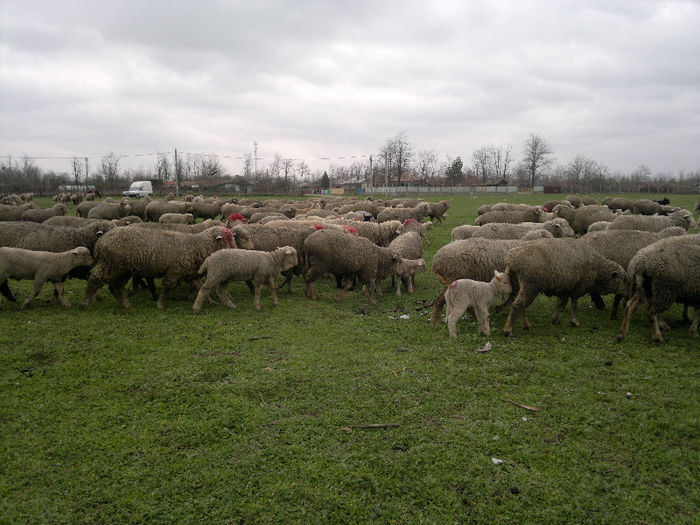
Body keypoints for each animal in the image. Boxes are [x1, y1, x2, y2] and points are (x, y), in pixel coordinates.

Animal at [82, 224, 238, 308]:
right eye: (228, 239)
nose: (237, 250)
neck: (196, 246)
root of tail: (100, 242)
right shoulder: (173, 271)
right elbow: (166, 287)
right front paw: (160, 304)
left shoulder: (189, 273)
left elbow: (200, 287)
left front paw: (211, 301)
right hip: (111, 266)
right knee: (94, 279)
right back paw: (87, 301)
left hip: (122, 270)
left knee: (115, 287)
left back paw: (125, 304)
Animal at [500, 237, 628, 336]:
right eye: (622, 279)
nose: (627, 293)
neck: (597, 270)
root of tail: (511, 260)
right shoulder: (578, 287)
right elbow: (574, 305)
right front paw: (574, 321)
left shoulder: (566, 287)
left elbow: (561, 303)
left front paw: (555, 319)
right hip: (530, 284)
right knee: (517, 305)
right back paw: (508, 330)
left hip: (520, 285)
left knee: (520, 305)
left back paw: (525, 325)